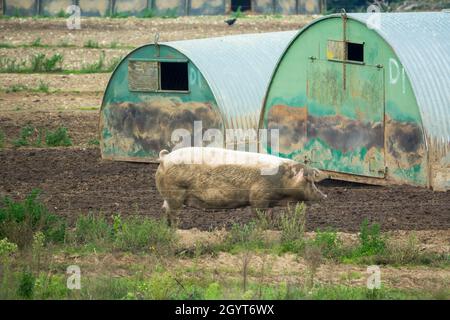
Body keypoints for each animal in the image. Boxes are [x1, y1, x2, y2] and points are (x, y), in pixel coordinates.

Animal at [156, 147, 326, 224]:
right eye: (309, 181)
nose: (324, 195)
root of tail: (165, 158)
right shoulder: (259, 195)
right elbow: (258, 212)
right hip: (175, 192)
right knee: (172, 212)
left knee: (164, 209)